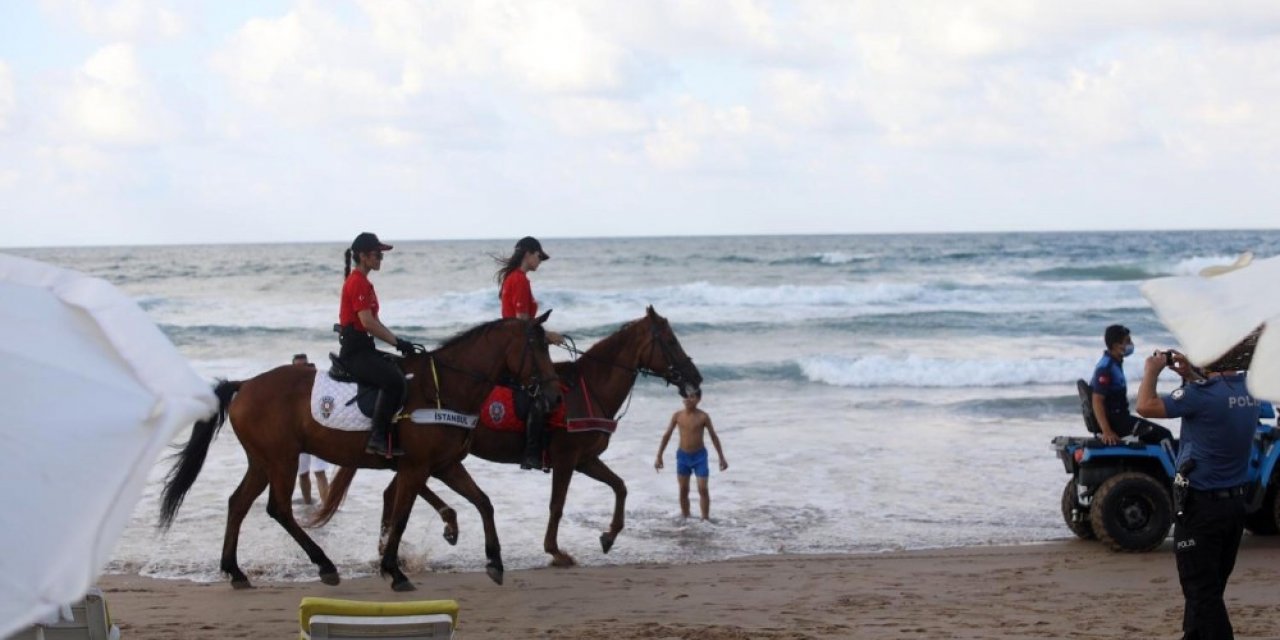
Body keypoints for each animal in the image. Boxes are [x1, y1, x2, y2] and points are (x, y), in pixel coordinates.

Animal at [158, 314, 560, 588]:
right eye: (537, 347)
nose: (554, 396)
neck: (446, 386)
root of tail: (246, 384)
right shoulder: (416, 468)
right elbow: (400, 516)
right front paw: (394, 570)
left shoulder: (444, 465)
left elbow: (484, 502)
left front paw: (494, 561)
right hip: (282, 460)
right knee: (279, 509)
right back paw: (324, 565)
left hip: (262, 462)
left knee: (238, 503)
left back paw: (235, 570)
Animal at [316, 304, 706, 565]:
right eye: (670, 340)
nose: (695, 378)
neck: (588, 388)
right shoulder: (567, 460)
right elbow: (558, 504)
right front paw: (555, 550)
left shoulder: (585, 460)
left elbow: (620, 486)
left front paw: (609, 536)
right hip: (431, 455)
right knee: (404, 489)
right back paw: (436, 528)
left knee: (394, 492)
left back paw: (401, 543)